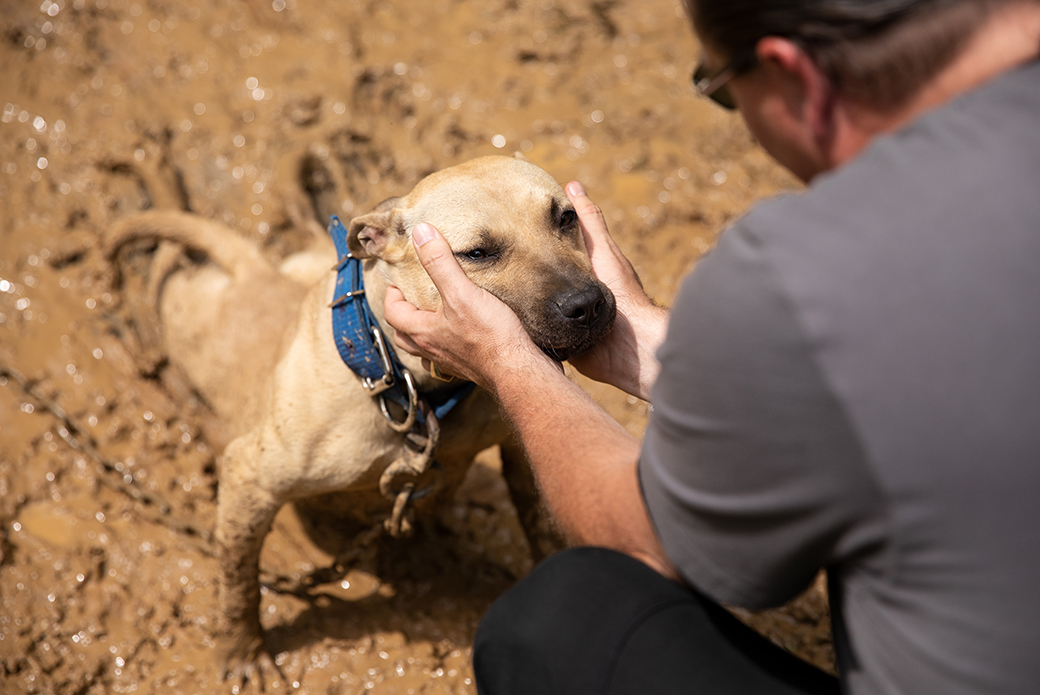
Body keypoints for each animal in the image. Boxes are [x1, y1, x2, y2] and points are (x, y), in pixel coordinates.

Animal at [103, 155, 615, 682]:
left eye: (566, 217)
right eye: (477, 253)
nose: (586, 305)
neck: (408, 384)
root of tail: (250, 272)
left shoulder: (521, 448)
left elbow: (542, 526)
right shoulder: (251, 477)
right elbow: (238, 582)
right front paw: (242, 649)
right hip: (186, 315)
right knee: (164, 271)